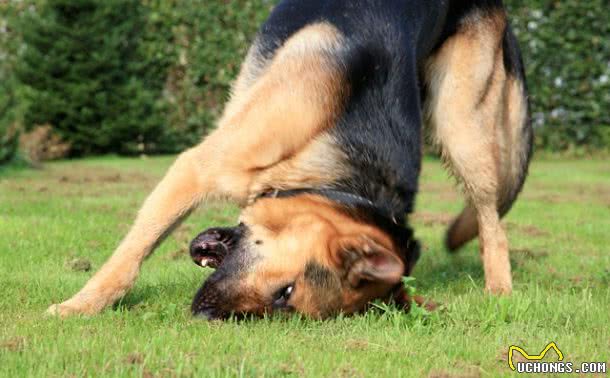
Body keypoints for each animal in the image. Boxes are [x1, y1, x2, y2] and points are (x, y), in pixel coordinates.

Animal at [47, 0, 528, 318]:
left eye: (283, 304)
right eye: (286, 291)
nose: (204, 315)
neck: (329, 177)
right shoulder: (196, 167)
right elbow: (129, 260)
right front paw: (79, 306)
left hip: (464, 127)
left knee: (491, 223)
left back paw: (500, 292)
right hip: (460, 129)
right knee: (491, 219)